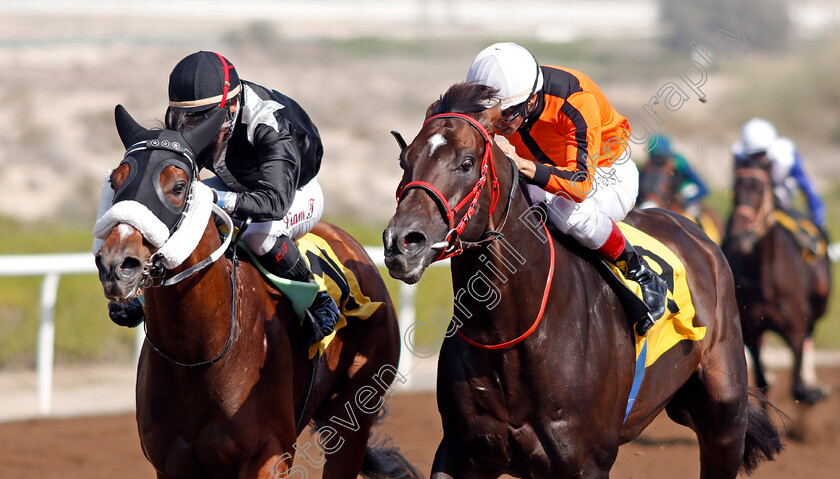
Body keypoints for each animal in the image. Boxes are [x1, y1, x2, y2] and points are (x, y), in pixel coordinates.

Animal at [94, 106, 420, 479]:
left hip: (354, 413)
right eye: (116, 181)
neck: (198, 353)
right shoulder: (172, 463)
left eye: (177, 186)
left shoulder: (269, 454)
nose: (117, 264)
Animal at [382, 83, 780, 479]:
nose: (402, 242)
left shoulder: (587, 461)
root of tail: (695, 233)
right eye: (405, 161)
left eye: (466, 163)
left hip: (724, 418)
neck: (512, 334)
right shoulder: (462, 452)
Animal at [720, 159, 832, 406]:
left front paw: (811, 391)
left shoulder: (796, 327)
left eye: (761, 190)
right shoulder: (752, 331)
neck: (765, 279)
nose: (739, 237)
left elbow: (798, 389)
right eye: (735, 190)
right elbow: (763, 385)